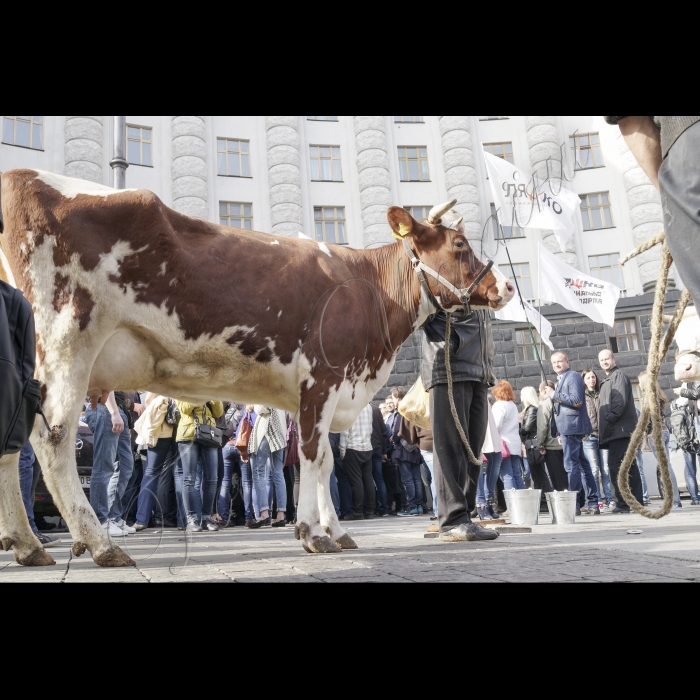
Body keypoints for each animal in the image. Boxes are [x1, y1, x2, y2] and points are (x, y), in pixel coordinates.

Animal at [0, 171, 516, 568]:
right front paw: (314, 533)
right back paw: (100, 544)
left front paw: (335, 530)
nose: (508, 286)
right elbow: (312, 458)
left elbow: (325, 462)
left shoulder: (321, 394)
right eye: (459, 243)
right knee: (53, 440)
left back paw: (27, 545)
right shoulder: (322, 380)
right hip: (68, 336)